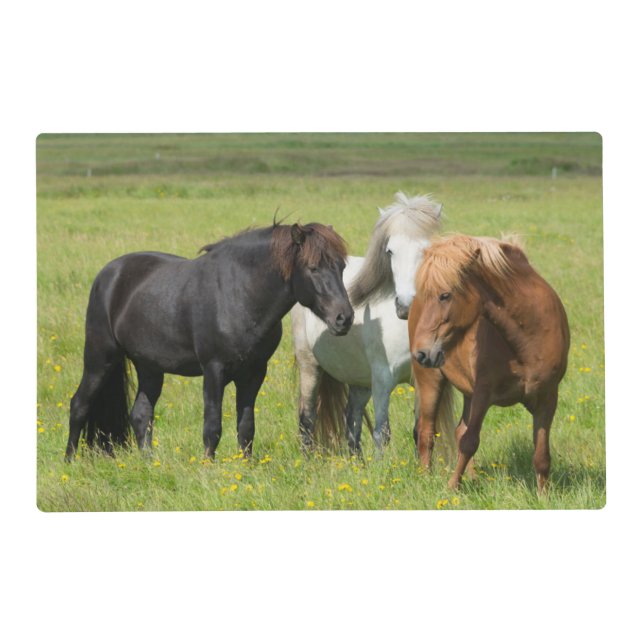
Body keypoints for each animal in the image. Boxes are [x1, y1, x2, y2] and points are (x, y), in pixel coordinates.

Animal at [65, 222, 354, 463]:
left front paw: (245, 467)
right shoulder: (214, 369)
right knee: (79, 404)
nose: (344, 318)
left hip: (149, 367)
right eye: (313, 268)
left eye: (341, 267)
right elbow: (212, 425)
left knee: (140, 414)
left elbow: (246, 426)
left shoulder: (254, 373)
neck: (240, 294)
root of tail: (107, 275)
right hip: (100, 358)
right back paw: (69, 461)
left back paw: (149, 463)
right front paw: (209, 466)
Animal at [292, 192, 455, 456]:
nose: (406, 306)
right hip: (310, 366)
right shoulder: (382, 379)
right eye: (389, 251)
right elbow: (382, 432)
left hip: (360, 380)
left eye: (426, 249)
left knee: (352, 418)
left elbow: (420, 431)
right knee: (307, 420)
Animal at [409, 234, 570, 493]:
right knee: (426, 432)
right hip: (430, 381)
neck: (527, 339)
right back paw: (425, 478)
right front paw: (451, 489)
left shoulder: (547, 398)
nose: (421, 353)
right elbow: (469, 441)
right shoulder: (483, 393)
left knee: (457, 430)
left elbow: (542, 455)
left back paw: (474, 478)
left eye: (445, 295)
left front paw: (544, 496)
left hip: (467, 392)